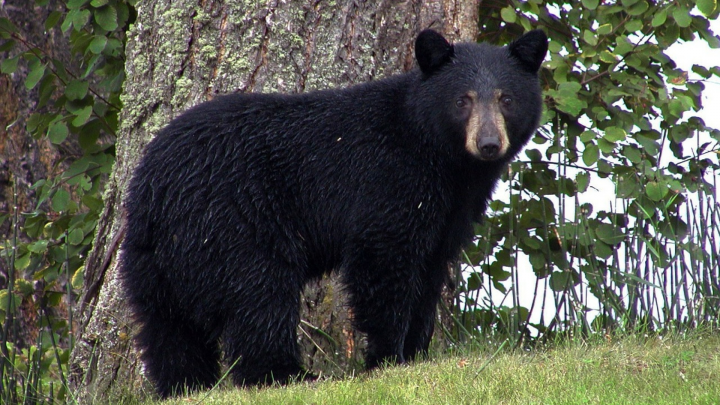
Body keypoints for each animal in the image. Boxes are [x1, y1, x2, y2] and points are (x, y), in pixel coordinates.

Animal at [119, 29, 544, 398]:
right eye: (463, 100)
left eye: (507, 98)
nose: (489, 143)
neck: (441, 157)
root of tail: (155, 187)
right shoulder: (389, 180)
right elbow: (383, 261)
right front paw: (388, 358)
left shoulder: (449, 211)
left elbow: (430, 272)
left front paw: (417, 353)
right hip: (233, 221)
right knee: (259, 295)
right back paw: (287, 374)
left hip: (152, 257)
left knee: (167, 327)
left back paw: (184, 386)